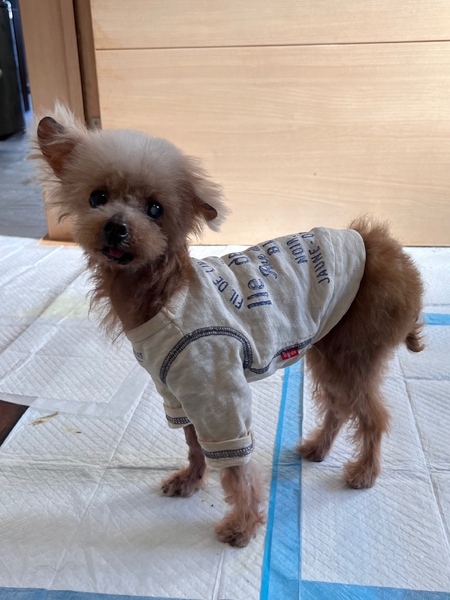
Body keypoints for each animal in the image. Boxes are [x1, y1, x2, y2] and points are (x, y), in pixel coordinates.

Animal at [34, 105, 424, 548]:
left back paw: (365, 473)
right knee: (339, 406)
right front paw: (190, 481)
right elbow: (194, 445)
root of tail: (393, 252)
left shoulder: (219, 395)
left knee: (373, 416)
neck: (164, 296)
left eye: (155, 209)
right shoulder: (177, 395)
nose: (116, 227)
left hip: (353, 354)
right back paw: (318, 449)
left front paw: (243, 525)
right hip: (331, 352)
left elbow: (236, 467)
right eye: (97, 197)